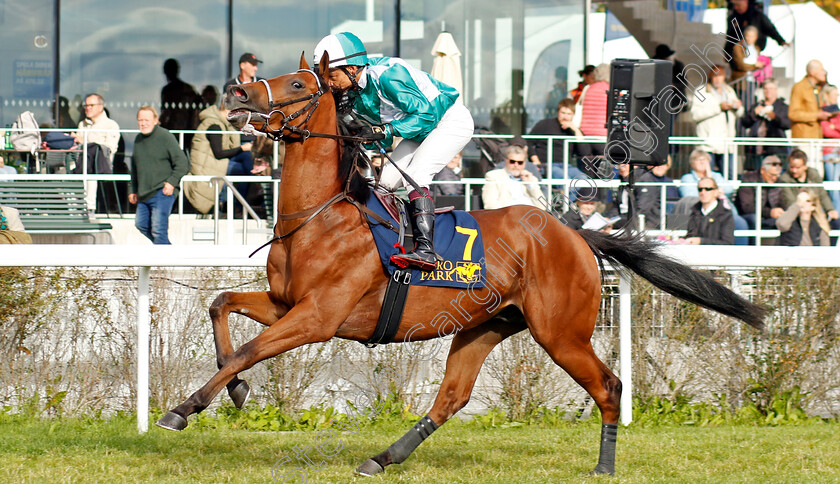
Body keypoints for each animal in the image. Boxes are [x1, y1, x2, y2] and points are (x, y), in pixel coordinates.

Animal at [158, 54, 768, 476]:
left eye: (298, 85)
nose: (236, 93)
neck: (321, 218)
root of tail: (575, 234)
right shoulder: (286, 303)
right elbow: (221, 307)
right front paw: (234, 392)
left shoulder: (318, 317)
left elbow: (247, 350)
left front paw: (187, 406)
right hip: (484, 325)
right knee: (452, 397)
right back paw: (382, 458)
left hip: (562, 332)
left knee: (610, 386)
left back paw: (604, 466)